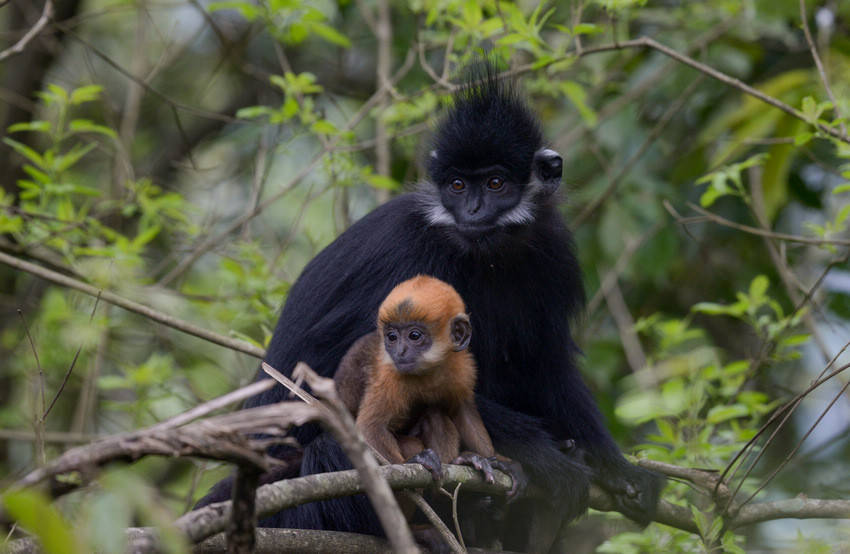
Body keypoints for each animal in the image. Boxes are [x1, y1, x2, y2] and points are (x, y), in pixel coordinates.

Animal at [332, 274, 524, 490]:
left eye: (414, 335)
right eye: (392, 337)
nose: (400, 352)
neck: (428, 371)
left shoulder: (463, 369)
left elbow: (462, 411)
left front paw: (498, 461)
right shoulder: (390, 377)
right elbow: (370, 427)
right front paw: (413, 462)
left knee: (435, 414)